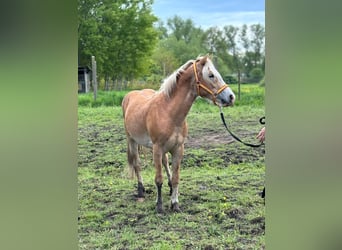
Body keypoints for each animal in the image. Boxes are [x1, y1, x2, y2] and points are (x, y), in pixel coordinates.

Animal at [121, 56, 235, 213]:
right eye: (211, 75)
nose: (231, 97)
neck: (168, 112)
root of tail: (130, 95)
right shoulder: (157, 148)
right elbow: (158, 178)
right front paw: (159, 206)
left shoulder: (178, 148)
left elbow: (176, 177)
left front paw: (175, 203)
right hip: (131, 140)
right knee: (137, 164)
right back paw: (140, 190)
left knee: (164, 162)